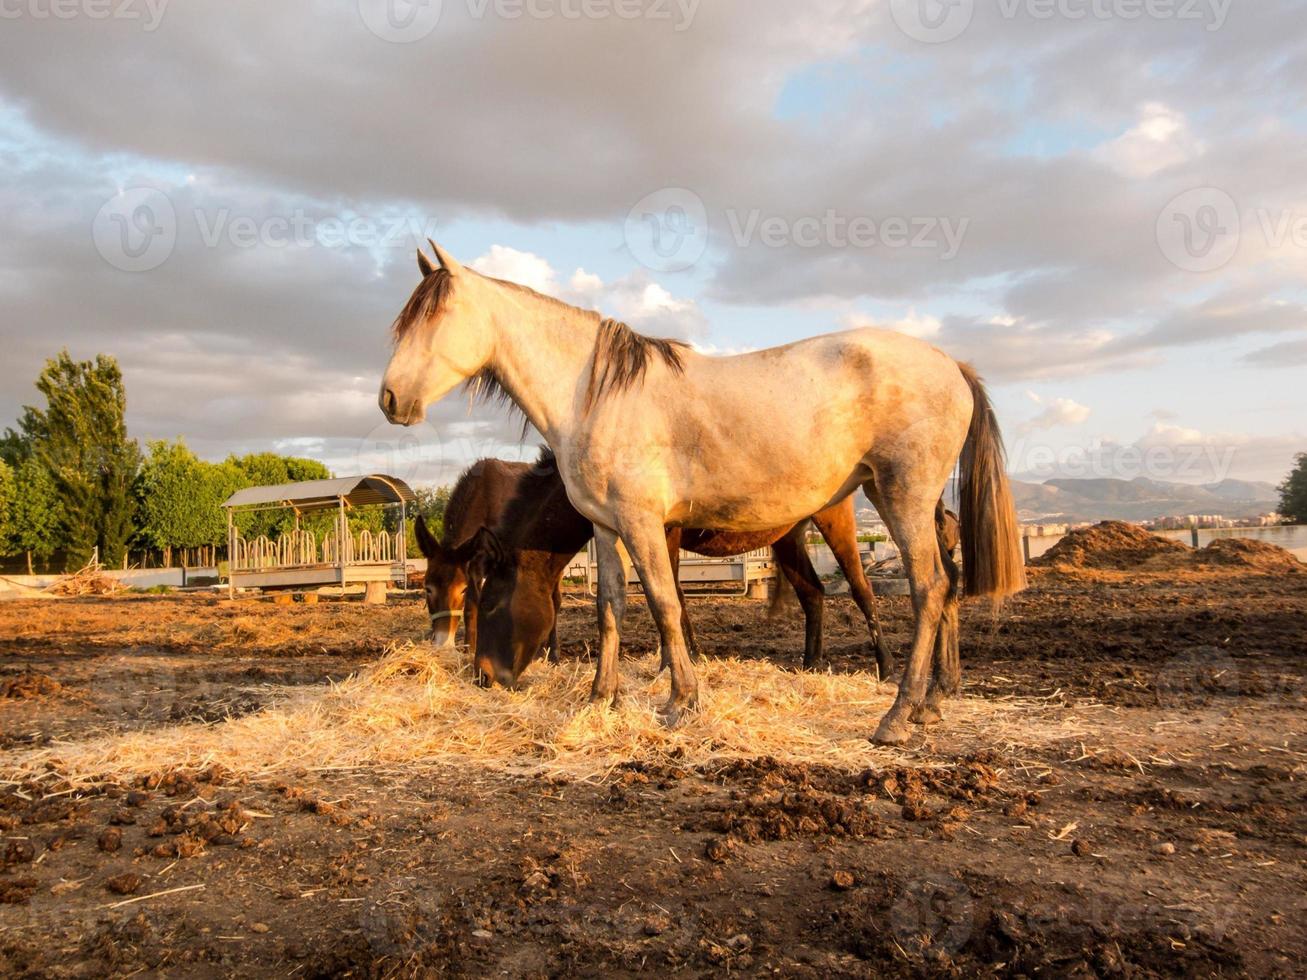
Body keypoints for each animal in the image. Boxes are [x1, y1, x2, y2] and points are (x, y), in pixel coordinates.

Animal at [462, 452, 899, 689]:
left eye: (491, 605)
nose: (482, 674)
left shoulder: (664, 530)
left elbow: (668, 592)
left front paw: (672, 664)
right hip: (788, 535)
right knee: (812, 593)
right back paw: (810, 666)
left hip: (833, 517)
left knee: (861, 589)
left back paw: (886, 668)